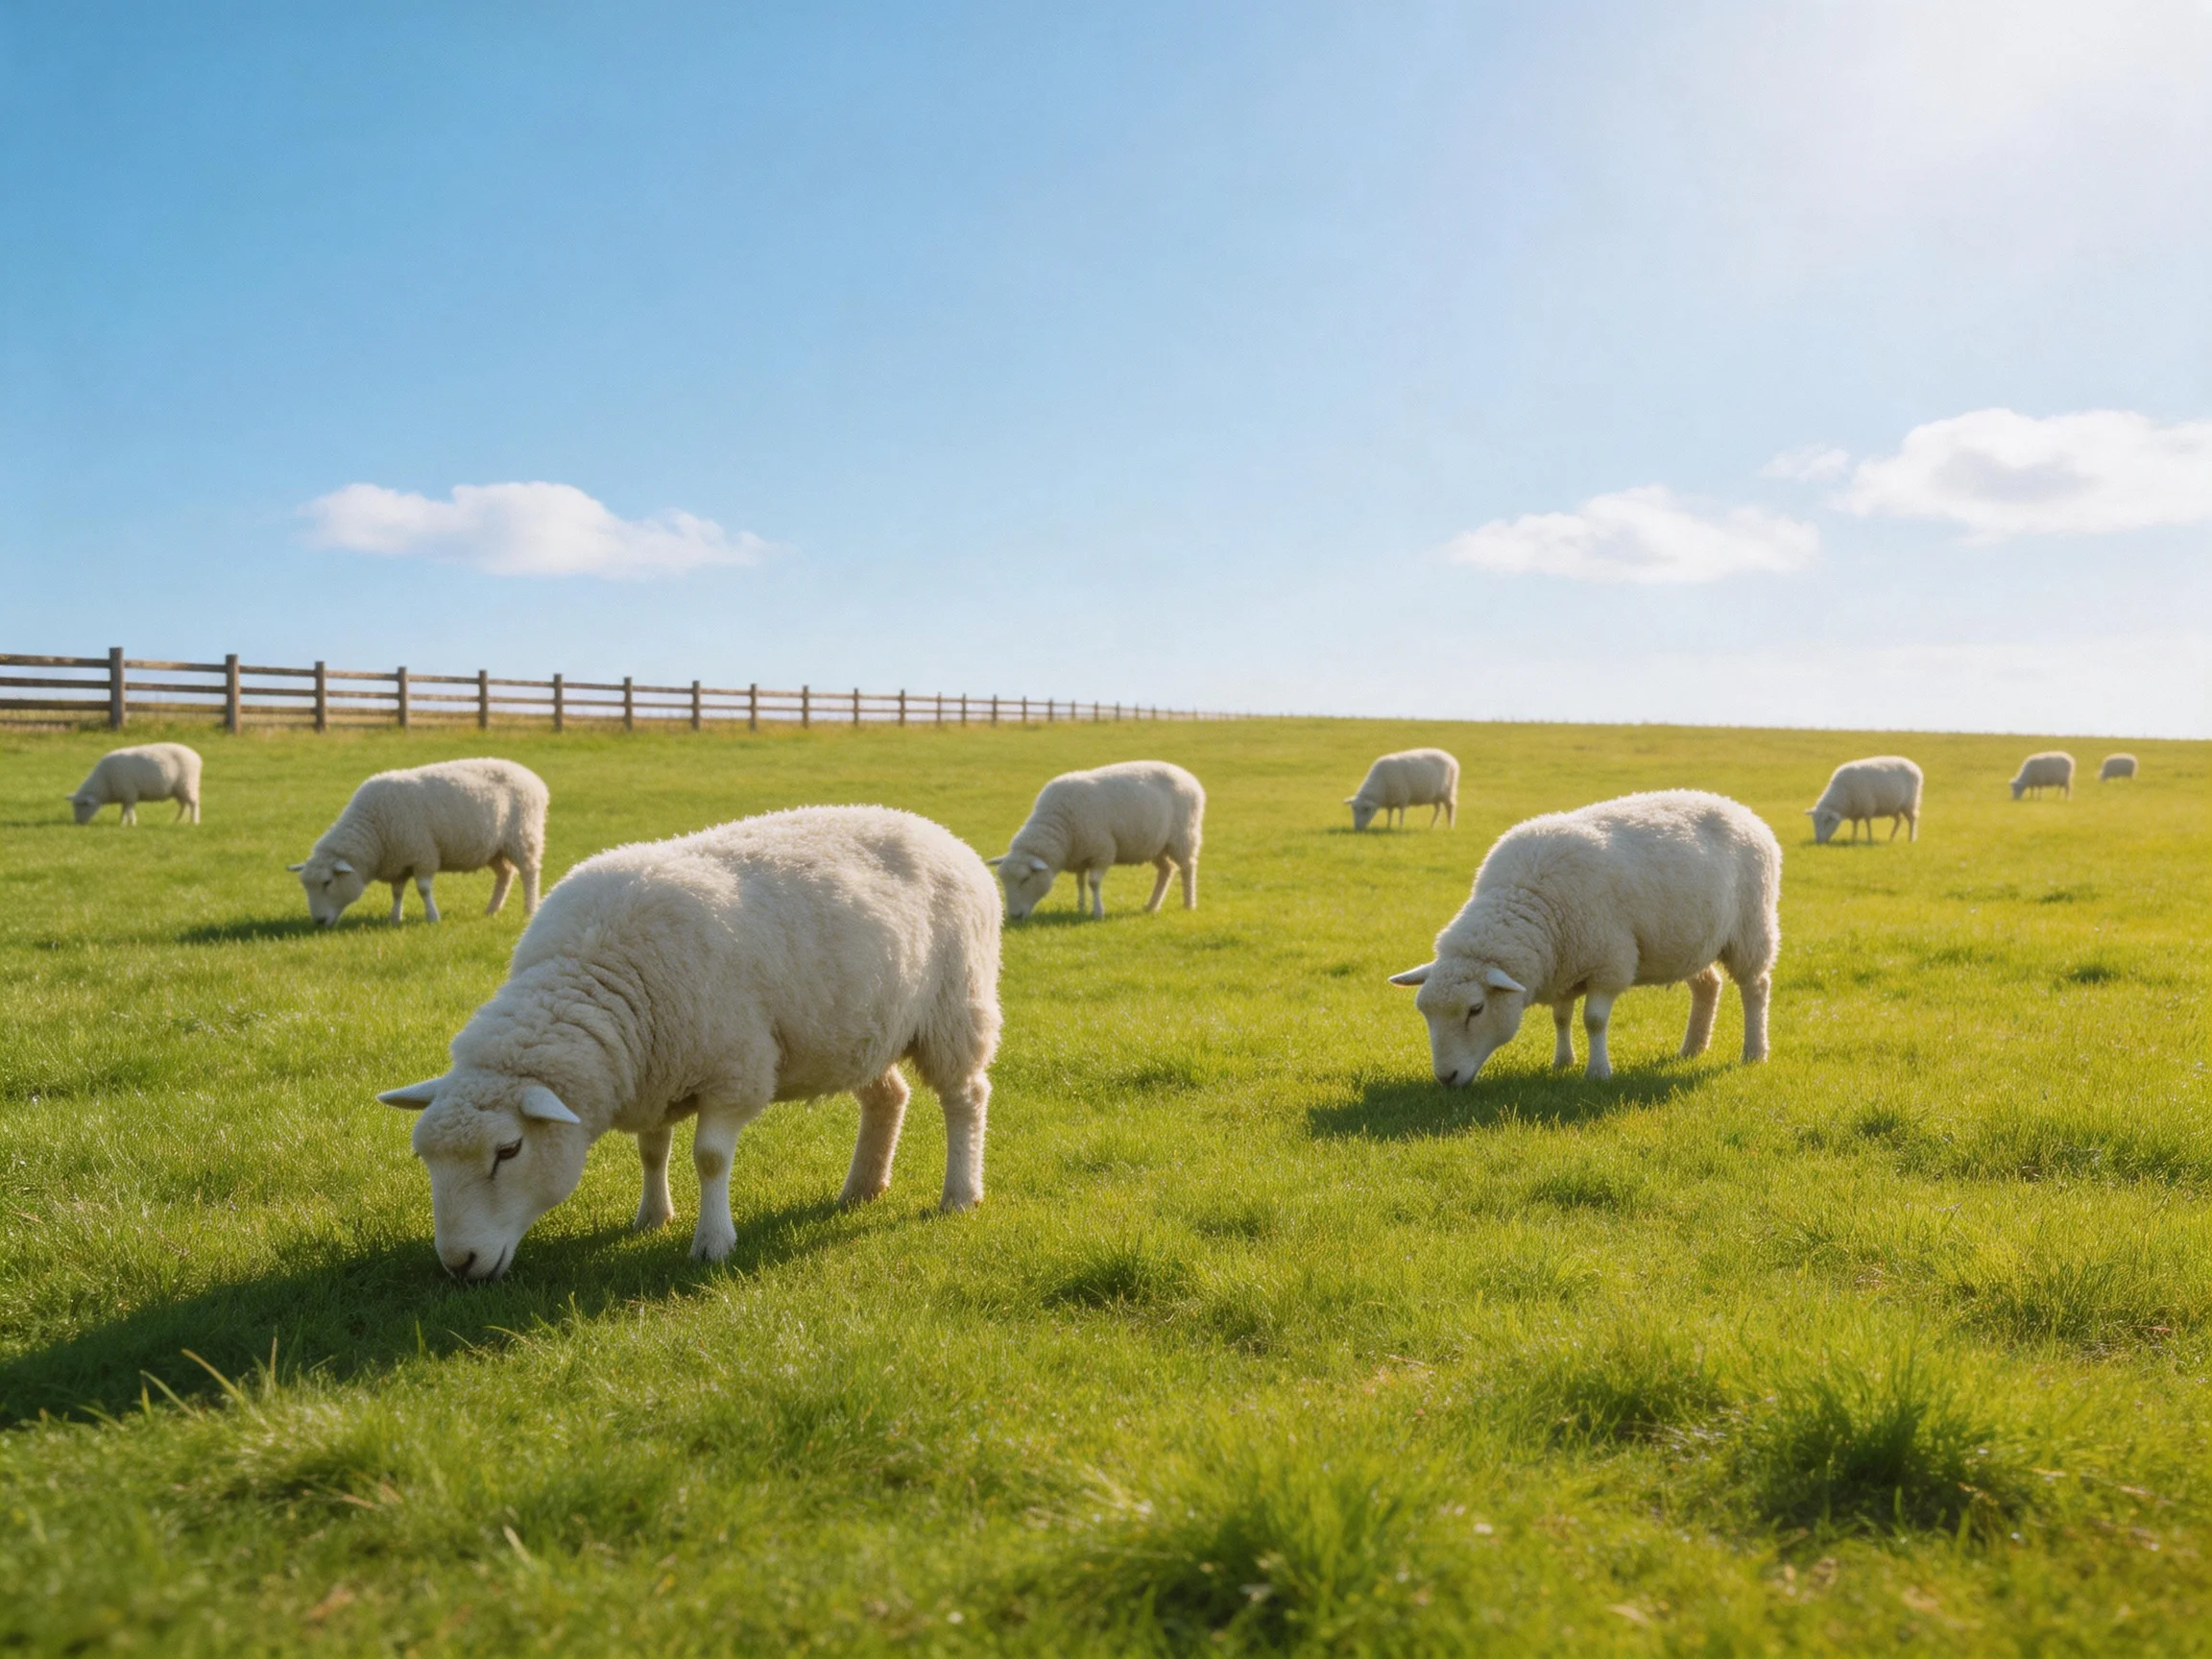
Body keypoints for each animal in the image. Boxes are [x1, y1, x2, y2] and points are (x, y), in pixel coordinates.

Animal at [67, 743, 201, 825]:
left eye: (84, 805)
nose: (78, 823)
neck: (104, 782)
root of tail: (196, 757)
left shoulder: (129, 793)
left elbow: (129, 810)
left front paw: (131, 823)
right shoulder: (125, 796)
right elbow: (124, 810)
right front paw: (122, 822)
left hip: (187, 785)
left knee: (193, 804)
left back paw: (194, 822)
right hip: (179, 790)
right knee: (183, 805)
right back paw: (176, 821)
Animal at [289, 758, 547, 927]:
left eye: (328, 882)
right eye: (306, 886)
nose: (319, 921)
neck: (373, 828)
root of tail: (534, 778)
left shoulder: (423, 854)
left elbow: (423, 889)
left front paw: (432, 917)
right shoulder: (398, 860)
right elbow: (397, 892)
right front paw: (394, 918)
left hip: (523, 836)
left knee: (529, 872)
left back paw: (530, 909)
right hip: (494, 848)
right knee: (505, 873)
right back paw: (492, 909)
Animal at [377, 805, 1002, 1279]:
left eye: (508, 1151)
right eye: (424, 1158)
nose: (459, 1263)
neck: (595, 970)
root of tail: (938, 831)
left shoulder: (733, 1069)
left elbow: (710, 1158)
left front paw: (713, 1242)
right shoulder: (653, 1071)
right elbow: (652, 1151)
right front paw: (652, 1218)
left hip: (955, 1008)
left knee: (965, 1098)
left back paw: (960, 1193)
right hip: (862, 1027)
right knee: (887, 1097)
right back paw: (861, 1189)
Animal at [988, 760, 1204, 919]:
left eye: (1025, 879)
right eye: (1003, 880)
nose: (1014, 917)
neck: (1060, 825)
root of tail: (1188, 775)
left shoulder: (1102, 851)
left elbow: (1093, 882)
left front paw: (1098, 912)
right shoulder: (1080, 853)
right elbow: (1080, 882)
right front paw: (1081, 907)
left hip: (1183, 836)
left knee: (1187, 867)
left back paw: (1189, 903)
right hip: (1155, 844)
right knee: (1166, 870)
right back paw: (1152, 906)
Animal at [1389, 790, 1780, 1084]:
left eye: (1476, 1009)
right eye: (1424, 1012)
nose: (1446, 1078)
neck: (1529, 897)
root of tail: (1739, 808)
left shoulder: (1608, 964)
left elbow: (1594, 1021)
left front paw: (1598, 1071)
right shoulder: (1563, 965)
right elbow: (1561, 1018)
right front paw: (1563, 1062)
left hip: (1751, 929)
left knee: (1755, 988)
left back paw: (1754, 1052)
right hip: (1690, 941)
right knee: (1708, 986)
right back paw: (1692, 1048)